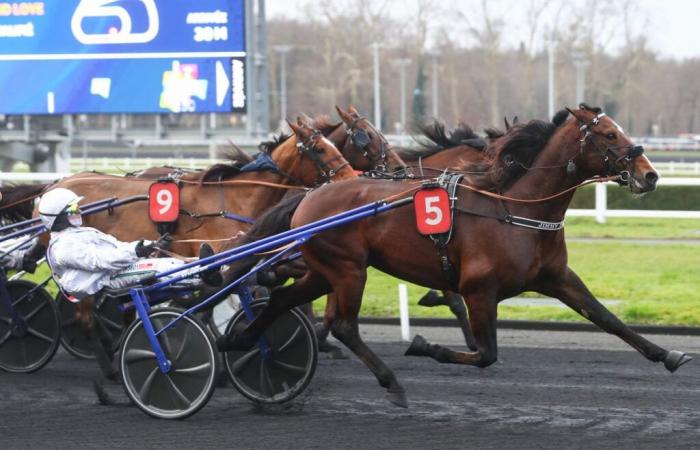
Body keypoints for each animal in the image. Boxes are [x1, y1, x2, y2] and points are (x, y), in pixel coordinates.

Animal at [220, 105, 688, 408]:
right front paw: (424, 344)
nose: (650, 174)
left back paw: (243, 342)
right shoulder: (480, 289)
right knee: (343, 323)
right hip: (348, 270)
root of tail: (309, 196)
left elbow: (607, 318)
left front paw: (668, 355)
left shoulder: (557, 277)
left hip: (326, 270)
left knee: (287, 301)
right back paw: (390, 381)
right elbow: (485, 353)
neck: (515, 207)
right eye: (609, 135)